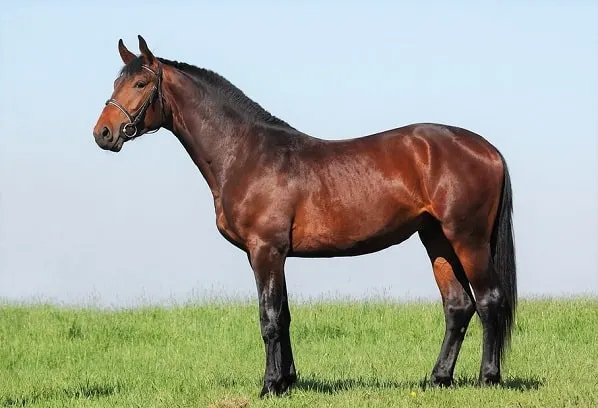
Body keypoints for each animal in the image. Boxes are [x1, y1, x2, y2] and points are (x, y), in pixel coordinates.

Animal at [92, 35, 516, 398]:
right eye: (117, 82)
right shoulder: (274, 255)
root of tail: (487, 148)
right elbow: (284, 316)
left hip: (468, 239)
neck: (245, 153)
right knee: (458, 306)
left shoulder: (265, 251)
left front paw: (268, 386)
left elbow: (269, 317)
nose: (104, 133)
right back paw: (438, 379)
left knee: (489, 300)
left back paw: (488, 378)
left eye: (141, 83)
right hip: (436, 239)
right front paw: (287, 381)